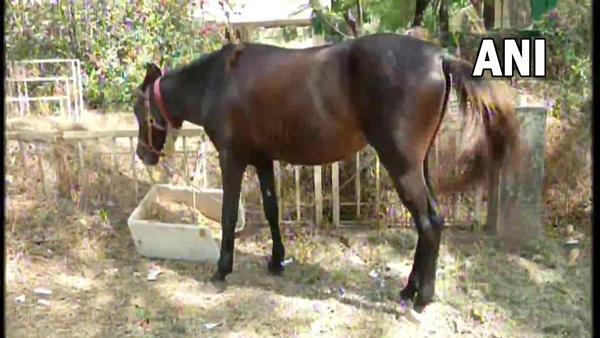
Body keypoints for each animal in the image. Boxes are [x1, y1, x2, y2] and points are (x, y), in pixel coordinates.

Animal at [132, 33, 520, 312]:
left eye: (138, 108)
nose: (143, 154)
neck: (219, 80)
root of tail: (439, 57)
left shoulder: (233, 160)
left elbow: (228, 215)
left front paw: (221, 268)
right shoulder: (263, 160)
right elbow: (272, 210)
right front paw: (276, 260)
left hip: (402, 167)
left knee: (429, 223)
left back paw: (421, 297)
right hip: (417, 166)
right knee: (430, 222)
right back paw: (409, 289)